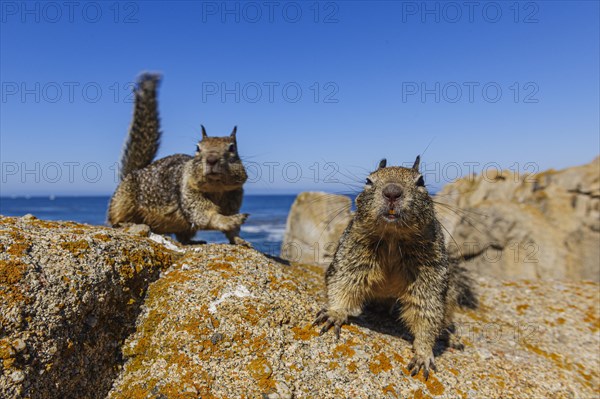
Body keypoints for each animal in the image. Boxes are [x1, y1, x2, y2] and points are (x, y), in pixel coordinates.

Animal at [107, 73, 248, 245]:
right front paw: (230, 220)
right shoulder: (188, 193)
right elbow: (205, 215)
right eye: (197, 148)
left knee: (183, 236)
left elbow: (231, 231)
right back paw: (126, 224)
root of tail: (133, 171)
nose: (212, 160)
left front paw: (239, 239)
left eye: (232, 148)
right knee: (116, 219)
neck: (216, 188)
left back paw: (194, 241)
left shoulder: (233, 198)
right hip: (123, 201)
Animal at [314, 157, 478, 382]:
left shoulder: (430, 271)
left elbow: (427, 309)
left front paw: (423, 354)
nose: (392, 192)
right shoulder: (352, 252)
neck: (392, 238)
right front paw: (335, 312)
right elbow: (344, 281)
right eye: (368, 180)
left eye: (421, 181)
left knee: (445, 319)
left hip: (450, 295)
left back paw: (450, 336)